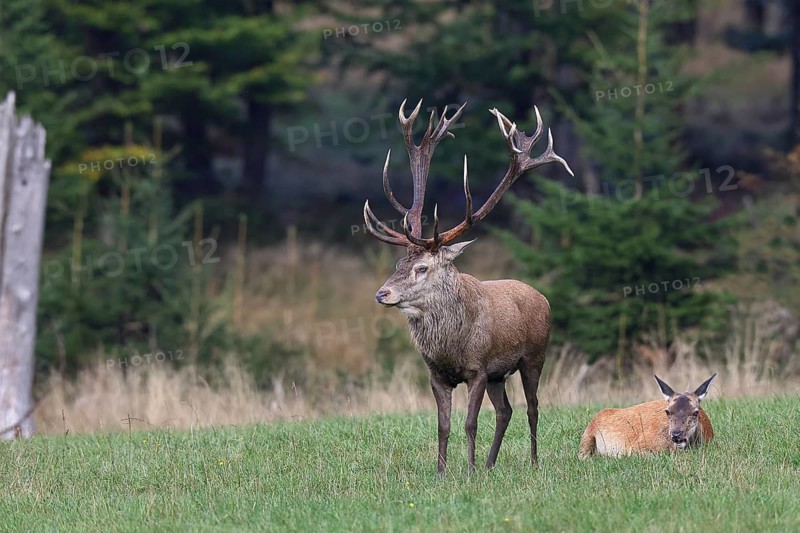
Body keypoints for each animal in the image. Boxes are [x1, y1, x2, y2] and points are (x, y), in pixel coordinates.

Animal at [363, 99, 573, 475]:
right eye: (398, 265)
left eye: (422, 267)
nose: (381, 293)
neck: (451, 346)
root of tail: (542, 296)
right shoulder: (437, 374)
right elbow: (443, 425)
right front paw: (442, 472)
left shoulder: (478, 368)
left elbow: (470, 423)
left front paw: (470, 471)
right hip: (499, 375)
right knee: (506, 410)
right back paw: (491, 464)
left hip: (534, 356)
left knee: (533, 407)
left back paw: (532, 461)